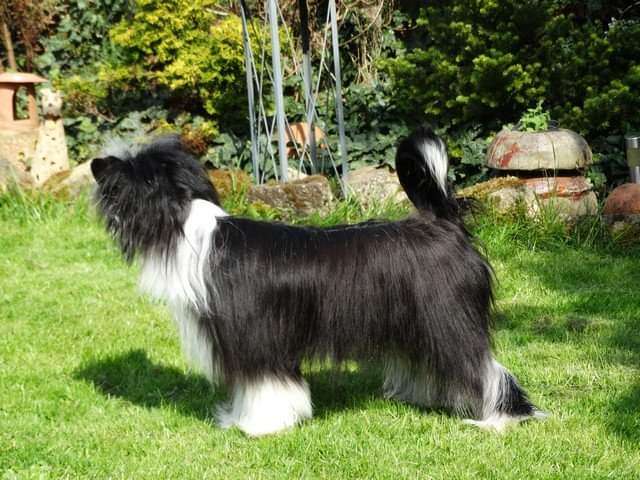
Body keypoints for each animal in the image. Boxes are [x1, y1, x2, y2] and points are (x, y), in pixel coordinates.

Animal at [90, 128, 544, 436]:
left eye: (124, 170)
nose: (96, 164)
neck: (190, 231)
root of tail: (444, 223)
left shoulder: (258, 338)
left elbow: (266, 386)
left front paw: (261, 425)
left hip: (449, 320)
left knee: (484, 368)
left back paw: (500, 419)